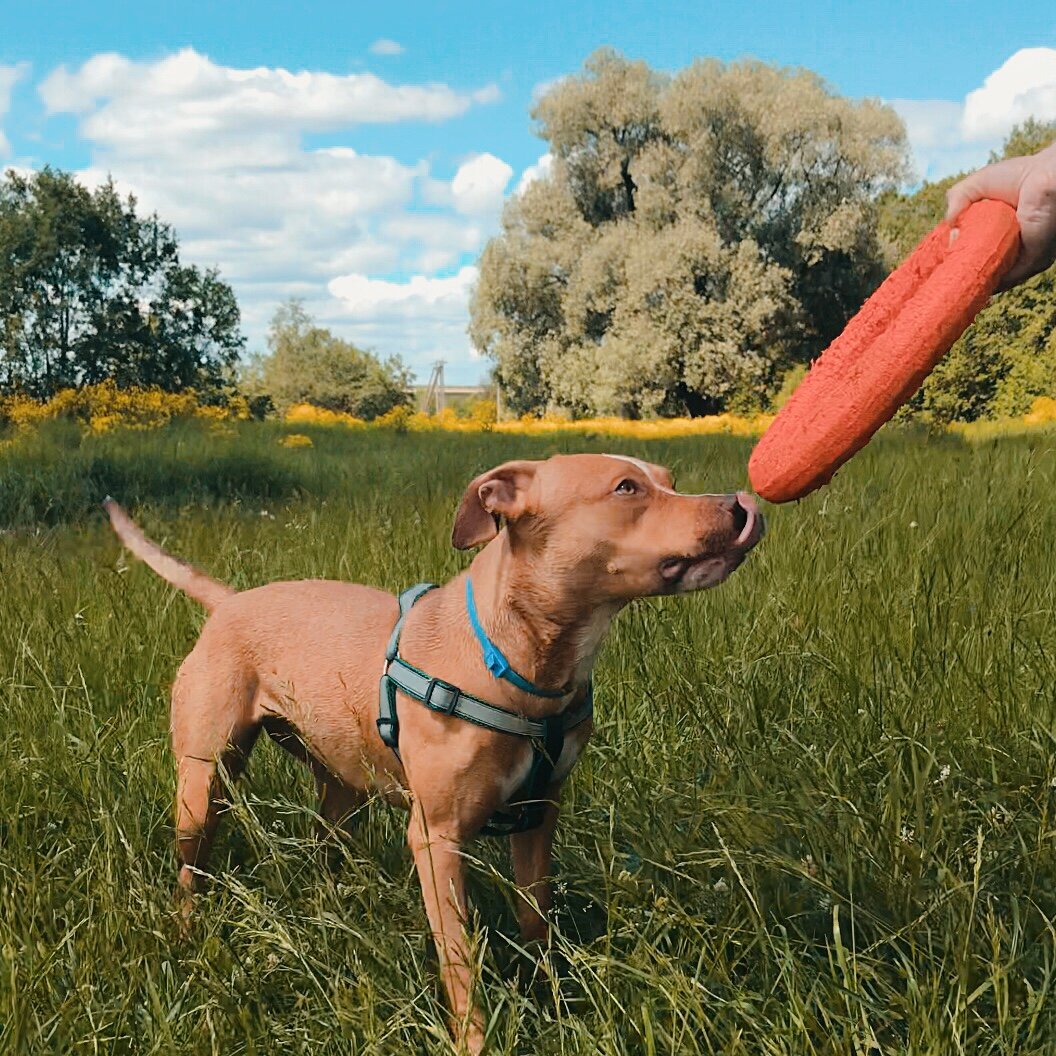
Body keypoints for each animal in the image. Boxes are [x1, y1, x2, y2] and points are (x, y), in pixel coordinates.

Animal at [107, 451, 764, 1047]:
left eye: (669, 480)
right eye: (627, 487)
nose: (743, 506)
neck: (519, 658)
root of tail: (230, 602)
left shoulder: (539, 815)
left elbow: (536, 919)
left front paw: (553, 1000)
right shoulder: (437, 838)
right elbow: (460, 957)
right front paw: (474, 1039)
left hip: (340, 784)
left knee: (325, 847)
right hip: (204, 786)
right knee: (191, 869)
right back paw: (186, 938)